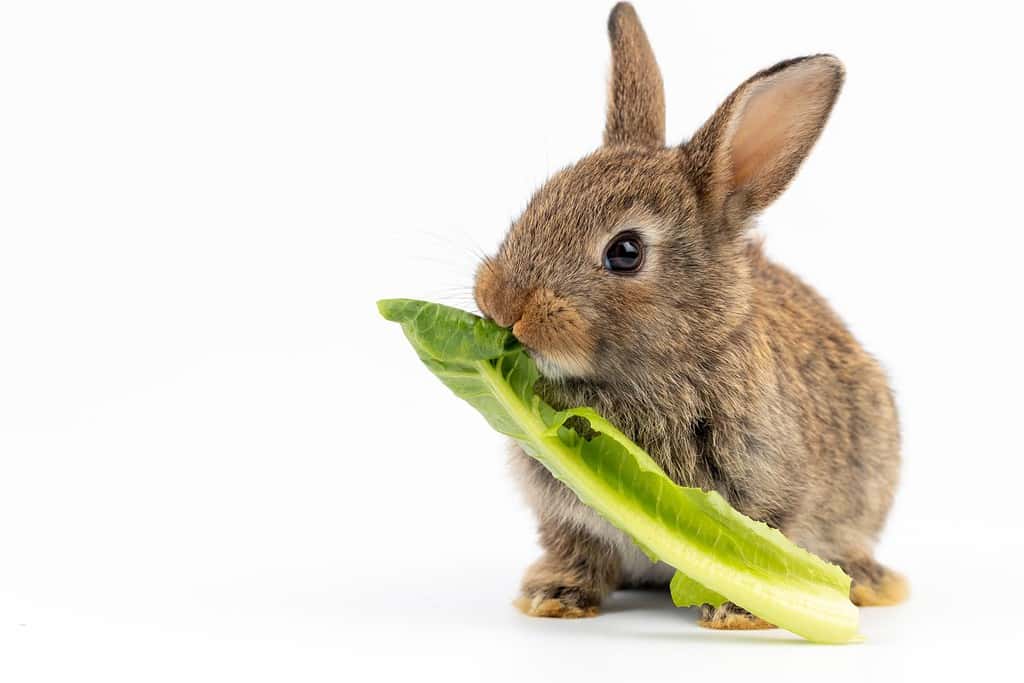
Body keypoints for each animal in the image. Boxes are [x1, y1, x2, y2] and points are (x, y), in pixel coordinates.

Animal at [471, 2, 905, 630]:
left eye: (625, 252)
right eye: (538, 201)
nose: (501, 305)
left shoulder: (764, 493)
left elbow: (755, 549)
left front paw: (736, 613)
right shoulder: (566, 513)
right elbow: (575, 546)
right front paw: (554, 596)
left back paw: (870, 584)